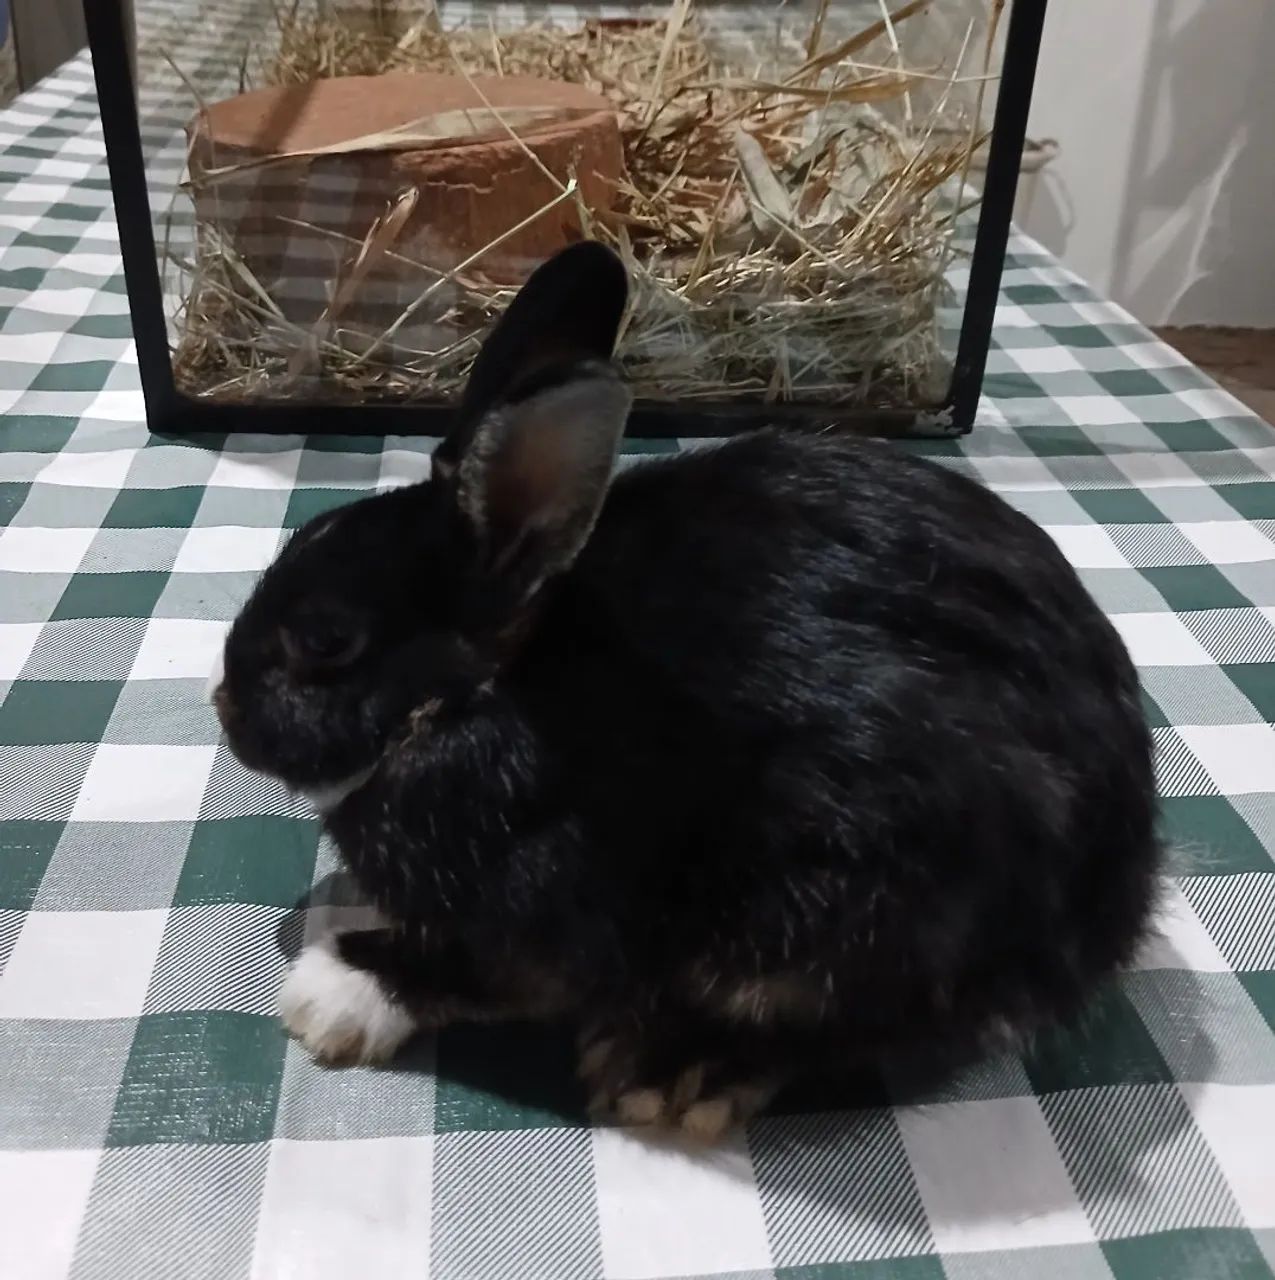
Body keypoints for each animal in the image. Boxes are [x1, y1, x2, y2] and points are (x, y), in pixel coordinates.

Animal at [212, 240, 1161, 1139]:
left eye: (325, 642)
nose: (224, 708)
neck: (477, 695)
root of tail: (1115, 895)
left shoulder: (544, 909)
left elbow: (472, 971)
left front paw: (331, 995)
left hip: (859, 916)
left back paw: (675, 1066)